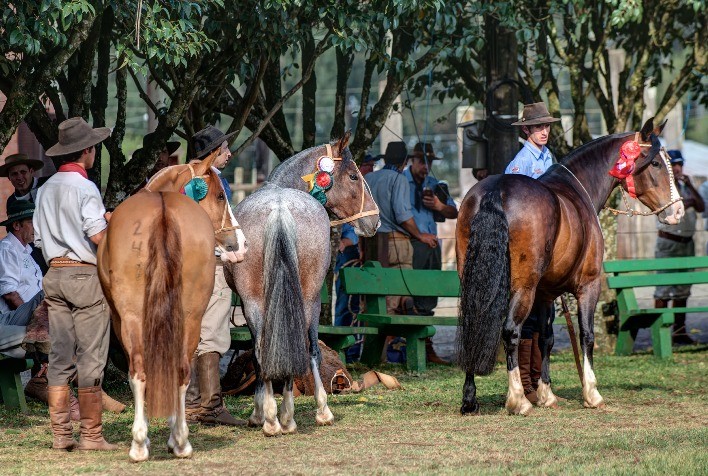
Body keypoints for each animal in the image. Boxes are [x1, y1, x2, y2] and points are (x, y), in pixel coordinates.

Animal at [97, 154, 247, 462]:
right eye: (219, 195)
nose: (240, 244)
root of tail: (163, 211)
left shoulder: (121, 319)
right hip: (190, 317)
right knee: (181, 370)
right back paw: (180, 440)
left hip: (132, 318)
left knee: (139, 371)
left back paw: (140, 444)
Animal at [223, 132, 379, 436]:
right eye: (353, 176)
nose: (375, 220)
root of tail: (279, 208)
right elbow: (310, 350)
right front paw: (316, 410)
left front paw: (261, 412)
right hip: (307, 298)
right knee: (304, 349)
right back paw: (293, 415)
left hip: (256, 302)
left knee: (263, 351)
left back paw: (272, 419)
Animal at [455, 118, 684, 416]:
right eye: (656, 163)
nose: (677, 211)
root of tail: (496, 189)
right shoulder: (588, 285)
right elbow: (586, 335)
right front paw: (592, 392)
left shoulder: (545, 294)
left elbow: (546, 338)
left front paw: (546, 394)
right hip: (523, 288)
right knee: (511, 331)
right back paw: (518, 400)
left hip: (474, 283)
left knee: (474, 325)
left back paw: (471, 399)